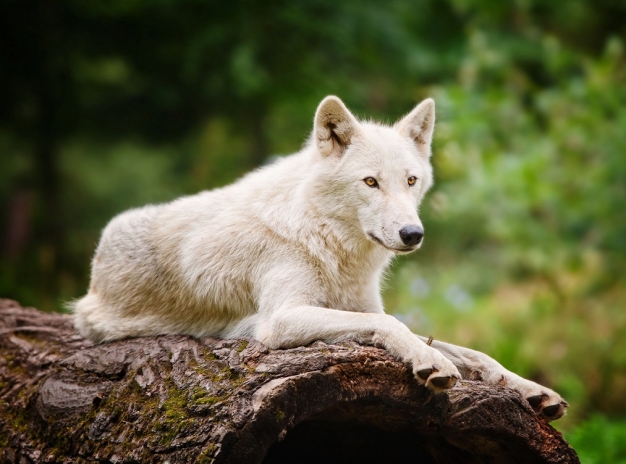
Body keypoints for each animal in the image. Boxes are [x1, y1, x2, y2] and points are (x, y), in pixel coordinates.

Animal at [72, 95, 564, 420]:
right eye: (370, 182)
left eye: (410, 180)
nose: (413, 234)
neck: (327, 241)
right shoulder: (280, 320)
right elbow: (393, 325)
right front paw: (432, 363)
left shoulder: (358, 305)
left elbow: (474, 352)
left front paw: (532, 390)